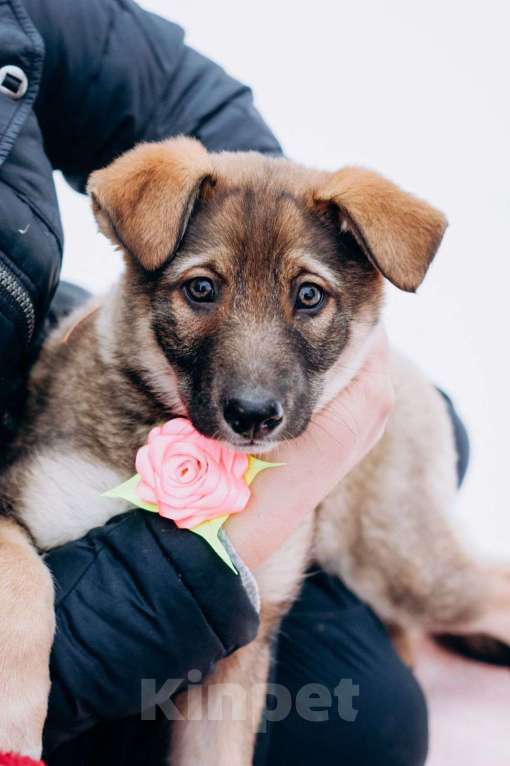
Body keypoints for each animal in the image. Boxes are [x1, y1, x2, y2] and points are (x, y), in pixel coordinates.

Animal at [0, 135, 510, 764]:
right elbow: (23, 580)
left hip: (404, 559)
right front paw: (15, 723)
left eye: (309, 296)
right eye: (201, 289)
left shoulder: (239, 647)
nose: (253, 416)